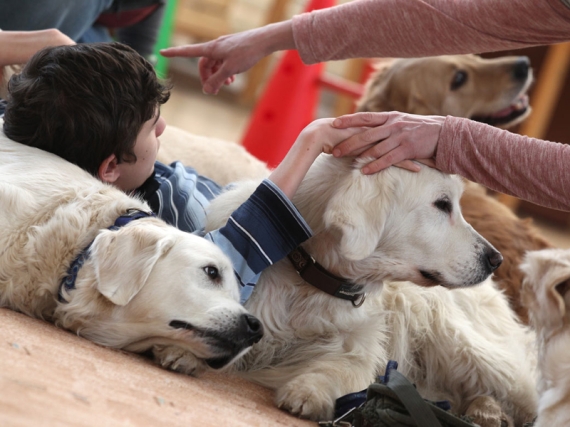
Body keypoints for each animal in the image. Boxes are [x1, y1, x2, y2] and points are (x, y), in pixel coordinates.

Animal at [153, 155, 536, 427]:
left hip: (461, 343)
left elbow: (341, 369)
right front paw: (185, 350)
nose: (494, 259)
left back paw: (489, 411)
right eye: (442, 204)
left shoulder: (361, 349)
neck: (310, 278)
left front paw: (308, 391)